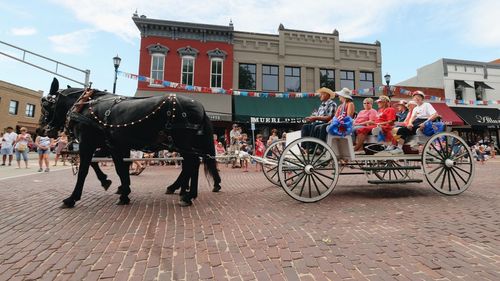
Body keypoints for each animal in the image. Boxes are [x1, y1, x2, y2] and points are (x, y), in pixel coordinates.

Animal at [42, 77, 222, 207]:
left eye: (46, 105)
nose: (45, 130)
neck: (84, 105)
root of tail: (200, 107)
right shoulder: (112, 146)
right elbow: (118, 168)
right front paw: (118, 188)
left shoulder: (88, 143)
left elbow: (84, 170)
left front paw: (72, 198)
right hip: (184, 144)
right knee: (192, 164)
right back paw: (185, 191)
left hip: (181, 142)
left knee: (192, 162)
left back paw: (187, 194)